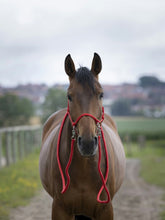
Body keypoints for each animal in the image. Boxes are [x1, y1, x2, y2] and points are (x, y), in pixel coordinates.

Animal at [39, 52, 125, 219]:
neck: (84, 167)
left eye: (101, 94)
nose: (87, 143)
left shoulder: (106, 210)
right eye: (69, 96)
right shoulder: (60, 209)